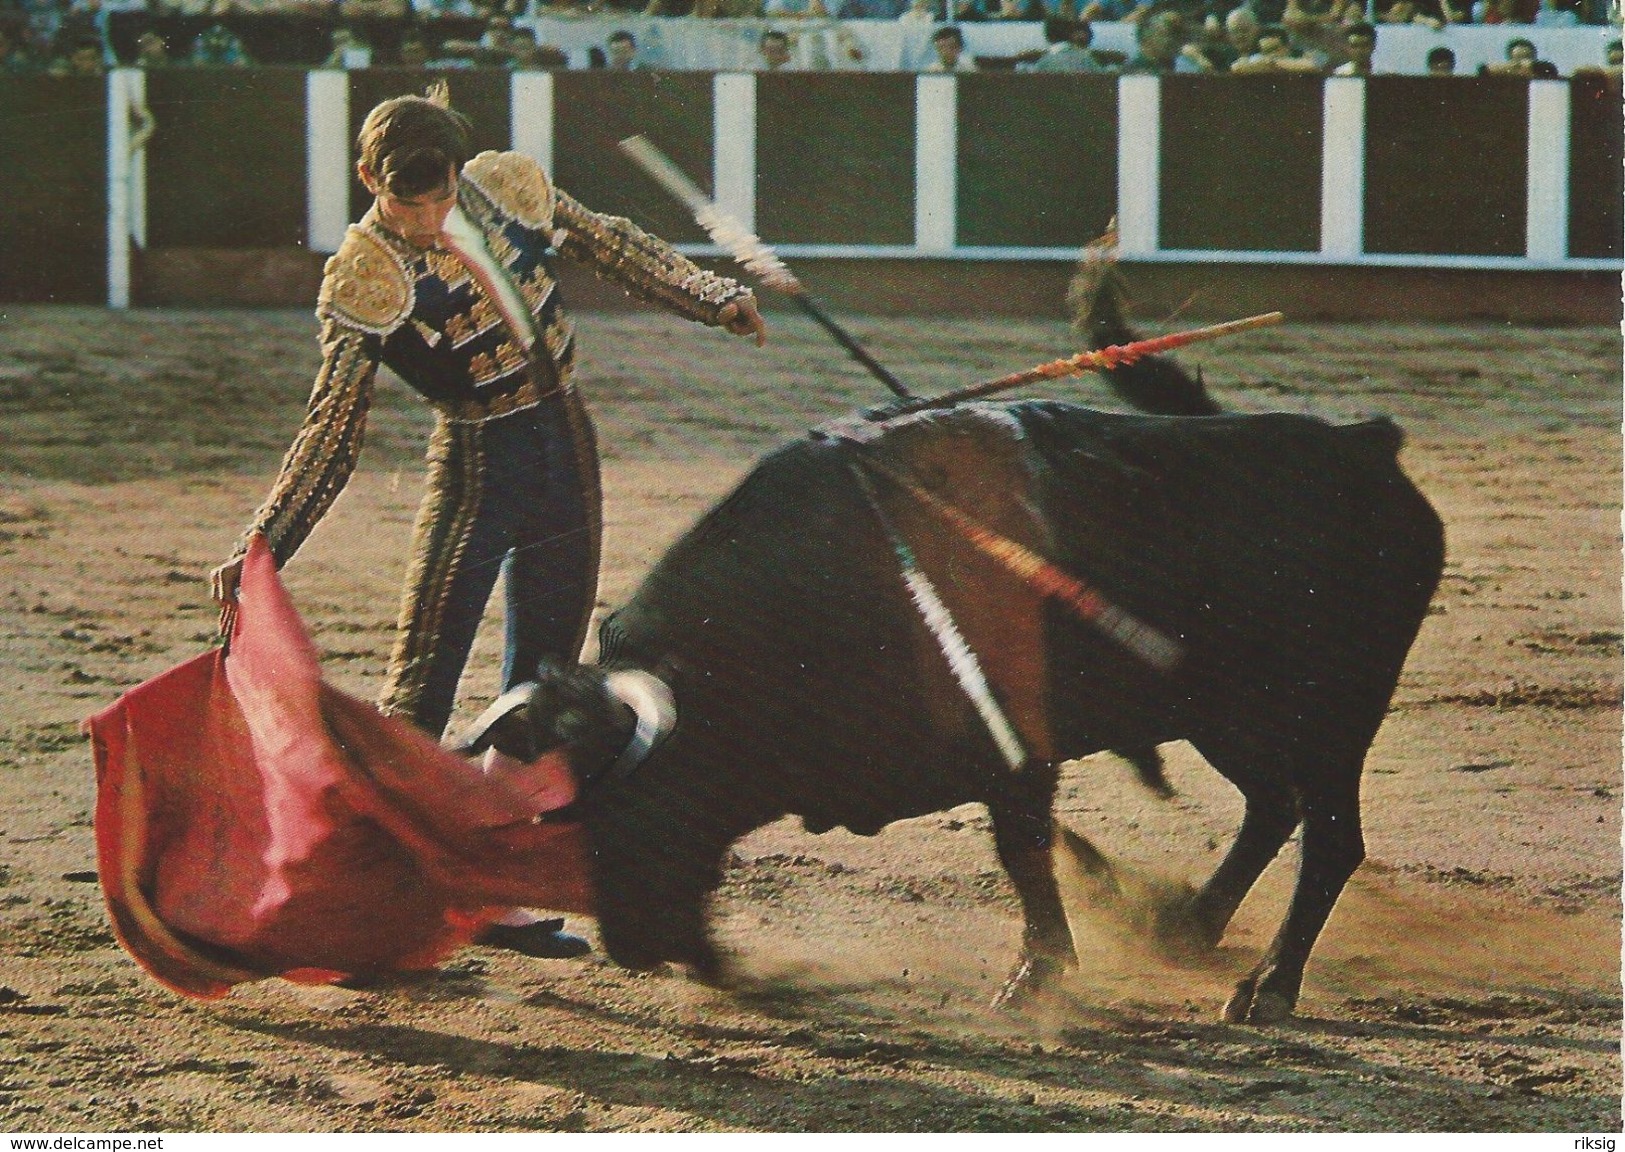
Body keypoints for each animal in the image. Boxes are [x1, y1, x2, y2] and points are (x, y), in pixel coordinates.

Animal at [500, 398, 1443, 1026]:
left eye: (631, 810)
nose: (628, 947)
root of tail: (1363, 445)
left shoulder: (1014, 751)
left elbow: (1022, 852)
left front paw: (1034, 979)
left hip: (1328, 718)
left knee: (1329, 836)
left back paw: (1267, 990)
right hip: (1225, 717)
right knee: (1273, 806)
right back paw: (1185, 929)